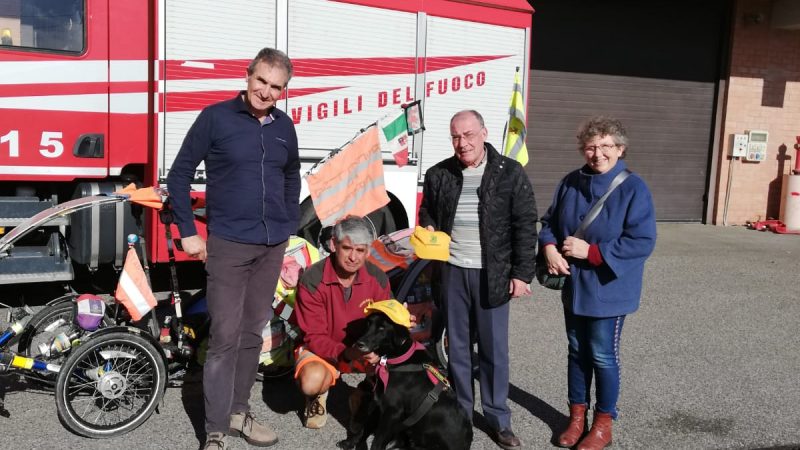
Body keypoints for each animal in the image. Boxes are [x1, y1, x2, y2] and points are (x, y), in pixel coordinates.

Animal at [336, 312, 472, 450]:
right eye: (368, 324)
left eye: (381, 328)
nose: (359, 343)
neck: (395, 358)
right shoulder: (379, 405)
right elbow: (364, 429)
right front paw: (349, 443)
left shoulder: (392, 412)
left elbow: (377, 441)